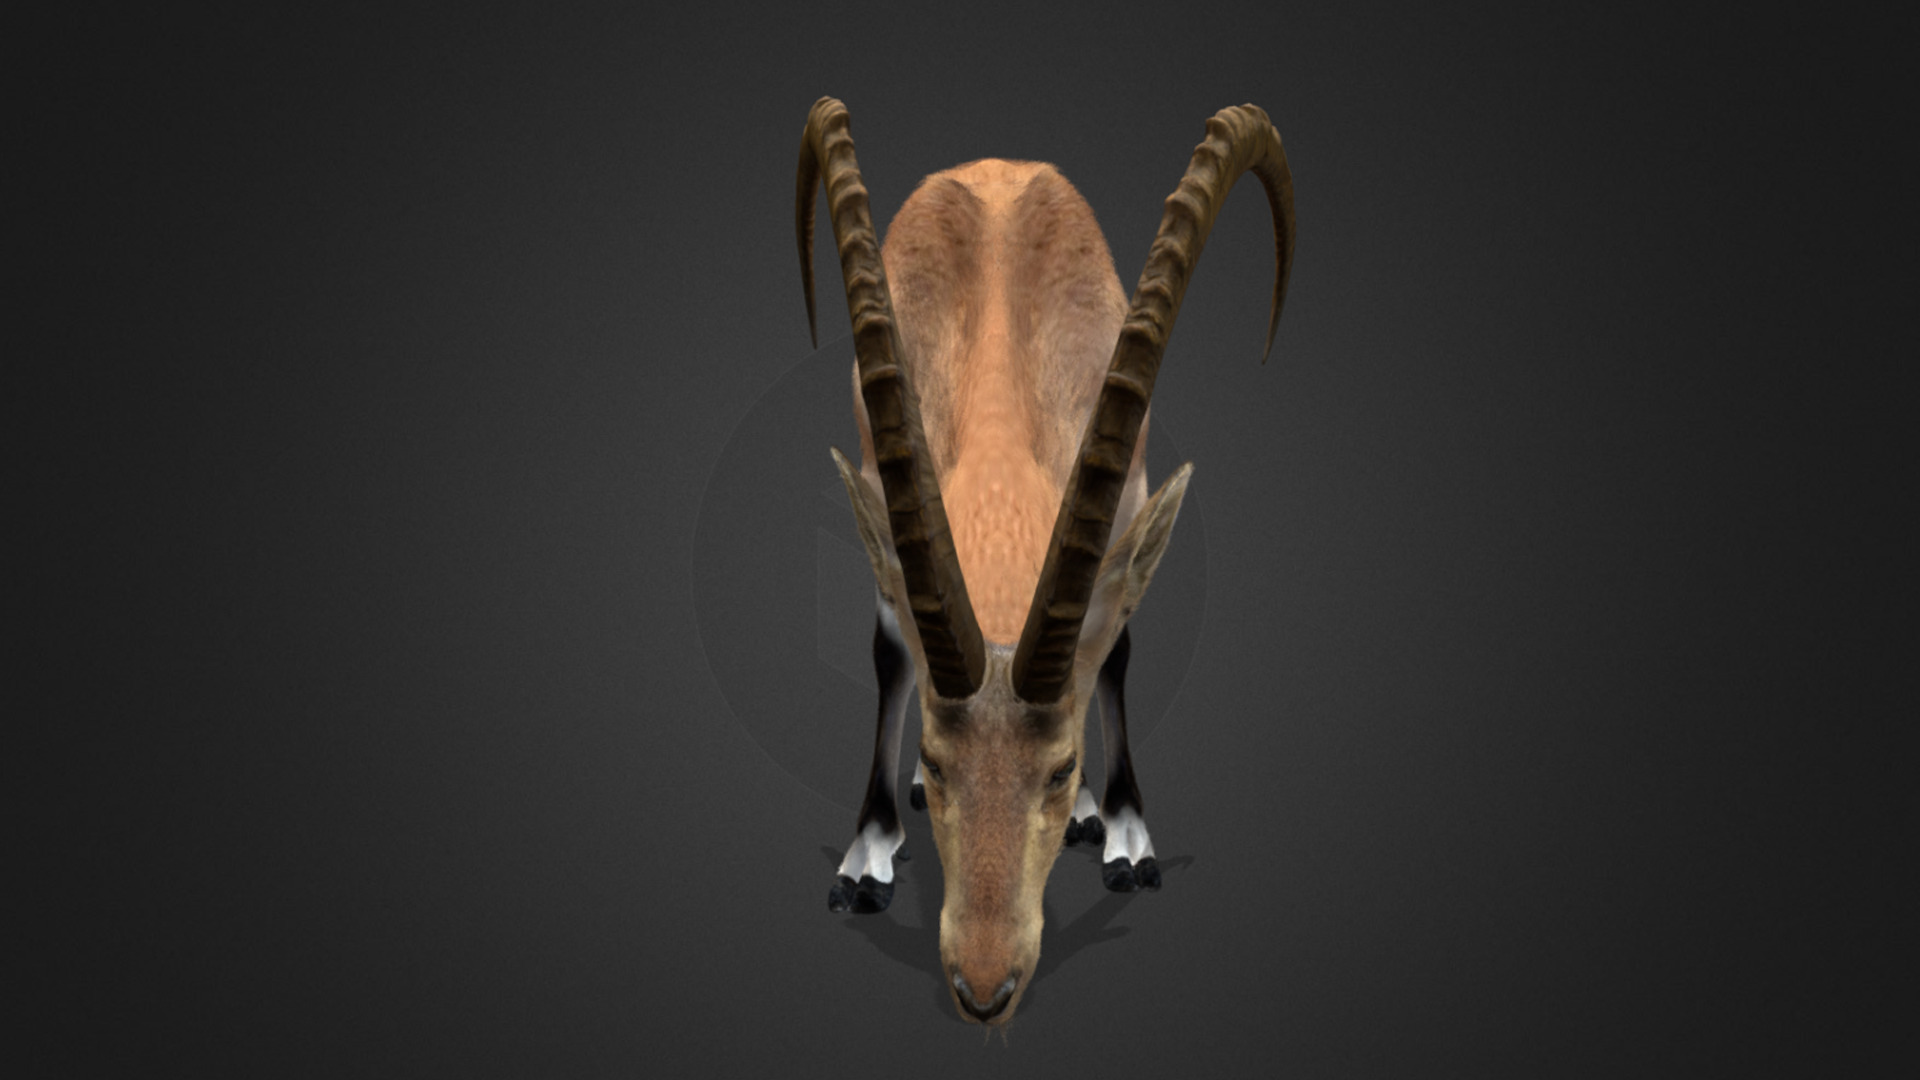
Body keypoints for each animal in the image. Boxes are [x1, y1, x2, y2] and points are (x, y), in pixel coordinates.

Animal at [798, 97, 1295, 1025]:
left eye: (1059, 767)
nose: (983, 987)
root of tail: (999, 162)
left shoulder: (1129, 493)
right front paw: (867, 855)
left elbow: (1118, 647)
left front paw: (1127, 835)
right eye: (936, 759)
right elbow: (890, 653)